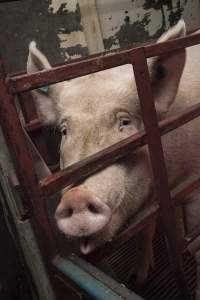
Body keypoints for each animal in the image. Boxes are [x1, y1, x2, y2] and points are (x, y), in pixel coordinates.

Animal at [27, 20, 200, 298]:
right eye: (65, 131)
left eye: (125, 122)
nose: (77, 196)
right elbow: (145, 231)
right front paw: (137, 278)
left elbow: (196, 242)